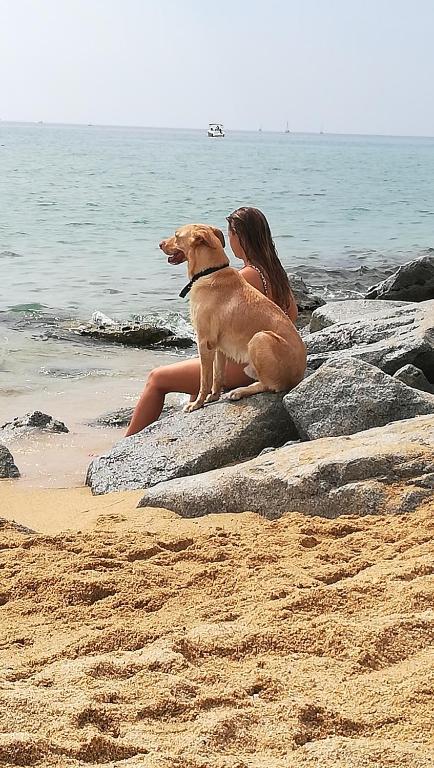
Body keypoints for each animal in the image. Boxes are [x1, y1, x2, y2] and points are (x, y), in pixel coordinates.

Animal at [159, 224, 306, 412]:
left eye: (177, 236)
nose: (160, 244)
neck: (209, 271)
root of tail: (300, 376)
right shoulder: (218, 346)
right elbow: (218, 375)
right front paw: (214, 396)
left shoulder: (204, 342)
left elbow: (204, 380)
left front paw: (197, 403)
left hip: (260, 338)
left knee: (271, 386)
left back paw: (240, 391)